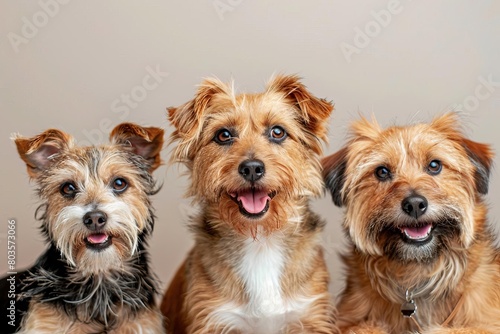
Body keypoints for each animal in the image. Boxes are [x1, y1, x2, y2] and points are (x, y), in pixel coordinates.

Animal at [162, 74, 338, 332]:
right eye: (223, 135)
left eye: (278, 132)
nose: (252, 168)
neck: (260, 241)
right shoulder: (214, 318)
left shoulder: (310, 316)